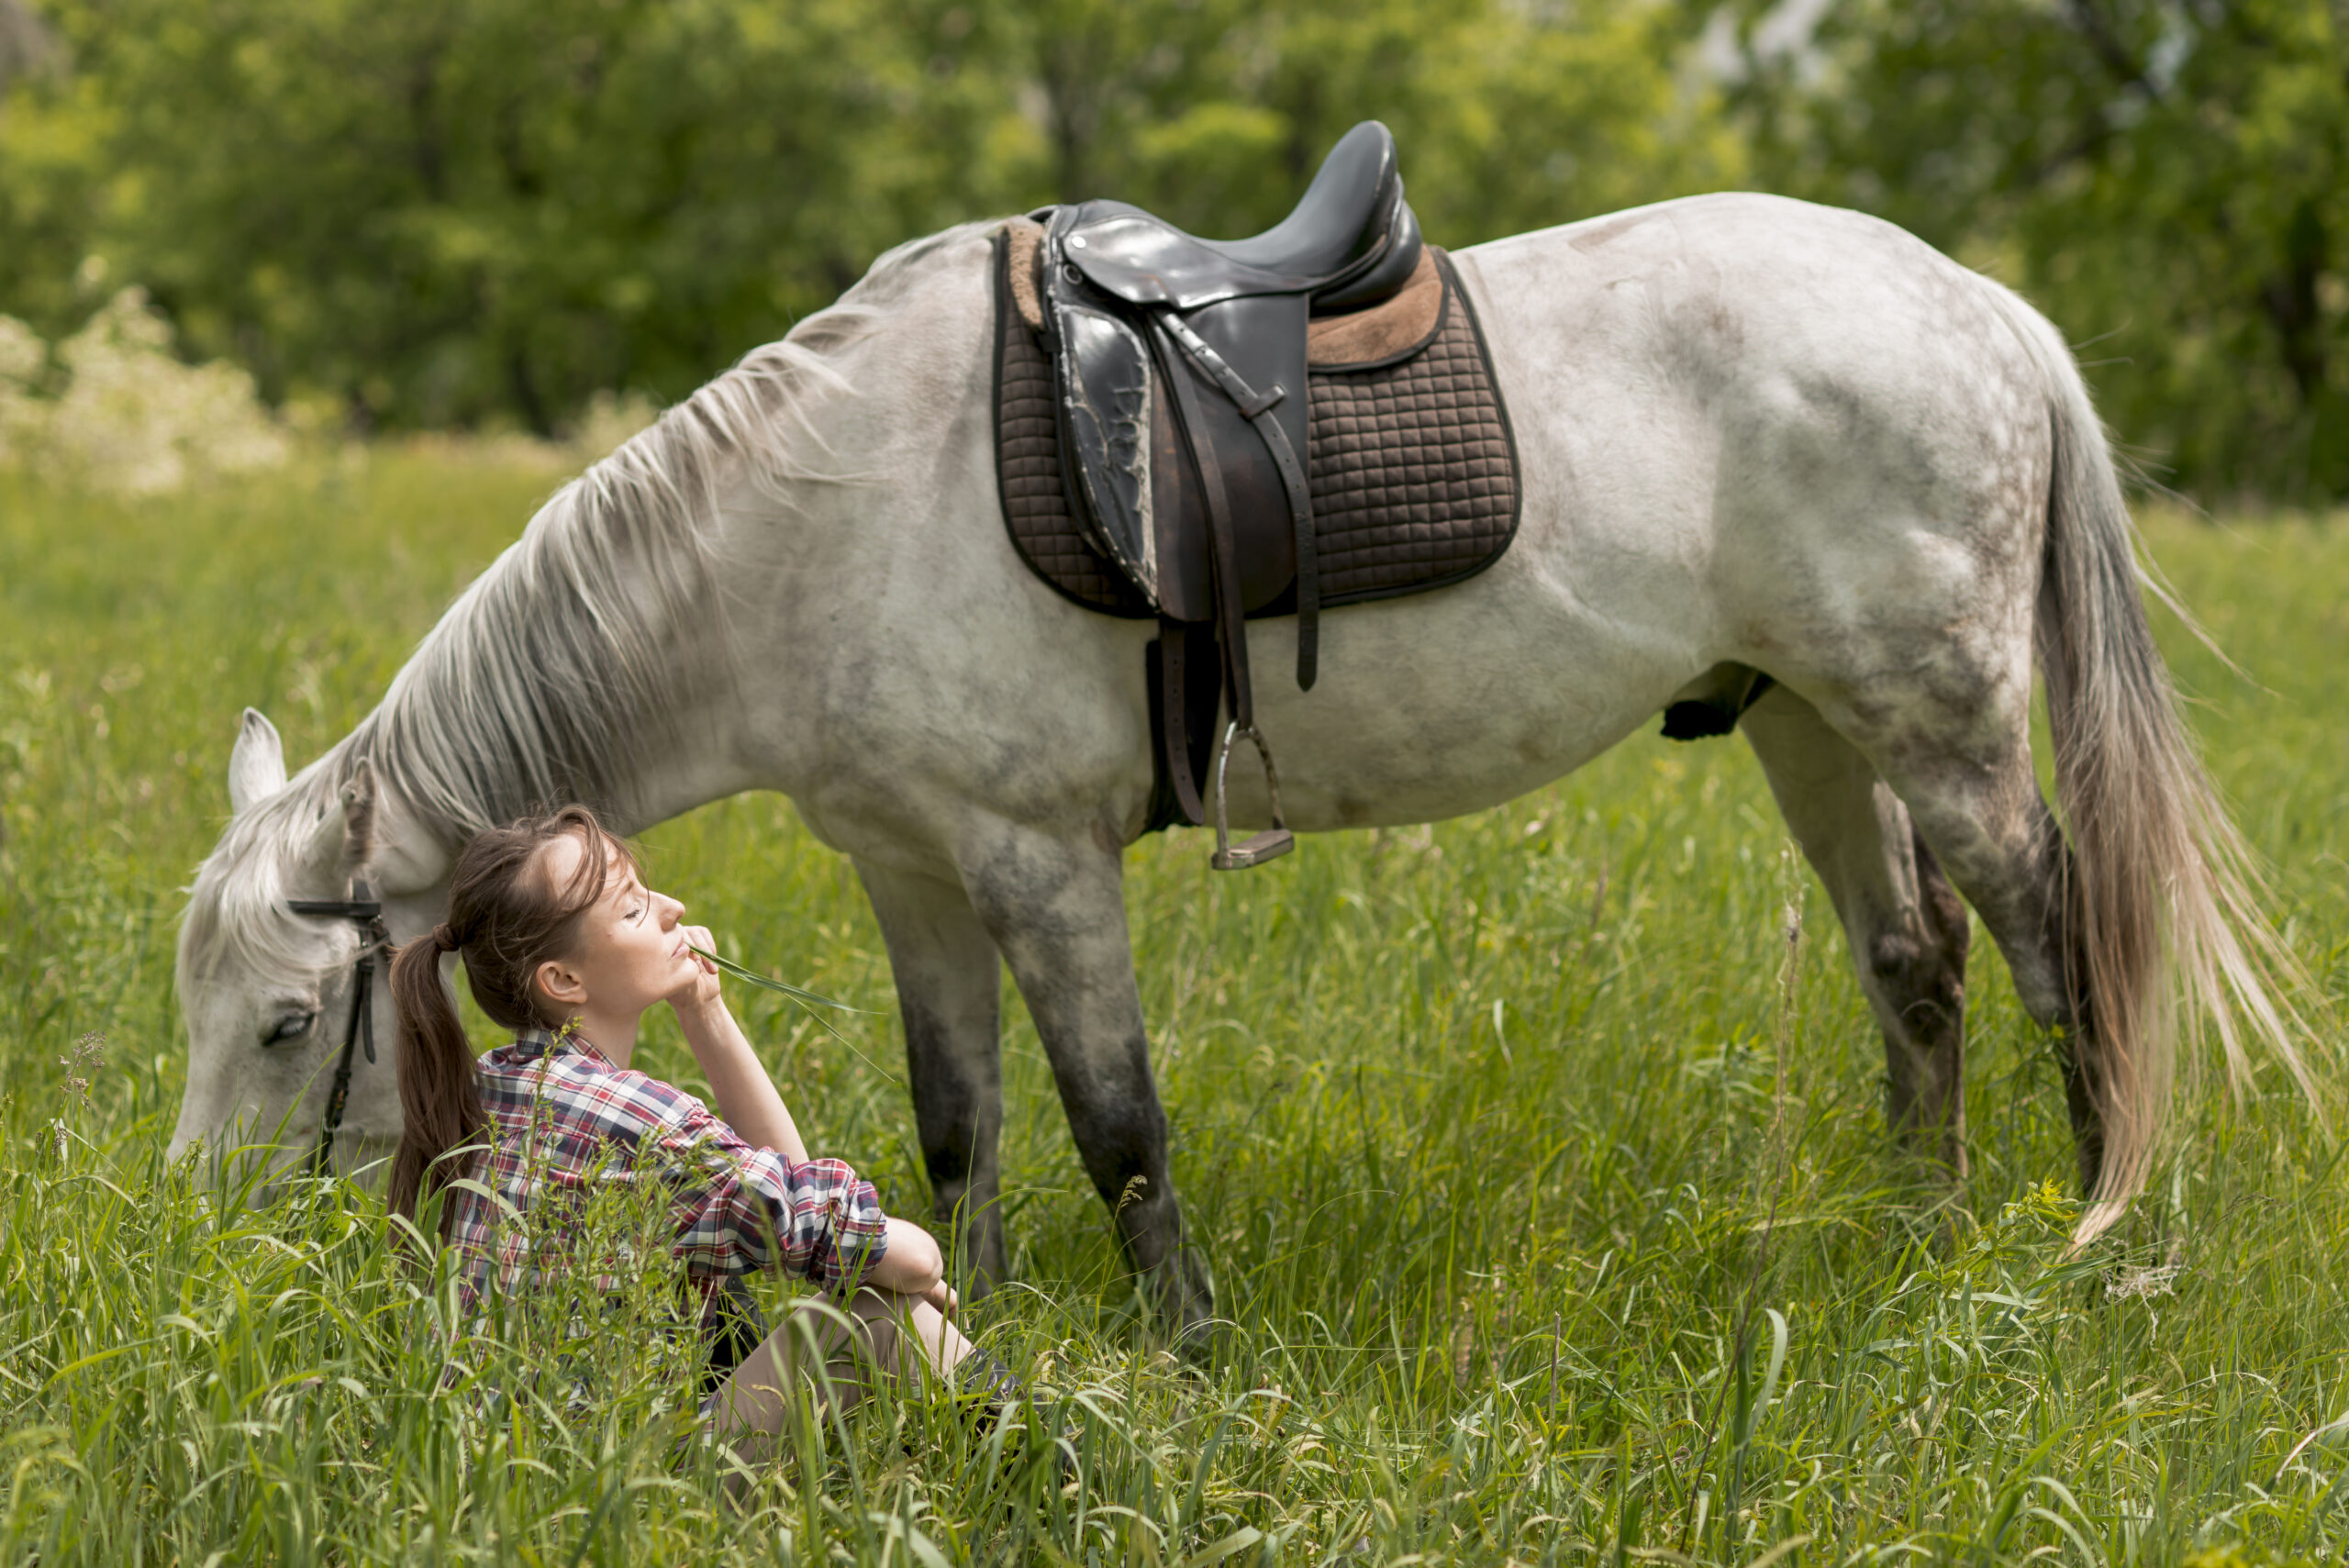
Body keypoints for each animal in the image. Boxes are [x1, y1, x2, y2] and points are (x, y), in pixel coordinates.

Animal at [170, 190, 2311, 1333]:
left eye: (285, 1023)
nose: (198, 1232)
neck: (813, 521)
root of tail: (1971, 299)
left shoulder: (1038, 861)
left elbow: (1116, 1119)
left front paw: (1182, 1342)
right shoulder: (910, 869)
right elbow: (958, 1121)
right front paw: (970, 1309)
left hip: (1938, 721)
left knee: (2059, 943)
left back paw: (2094, 1226)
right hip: (1804, 722)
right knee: (1914, 966)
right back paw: (1913, 1236)